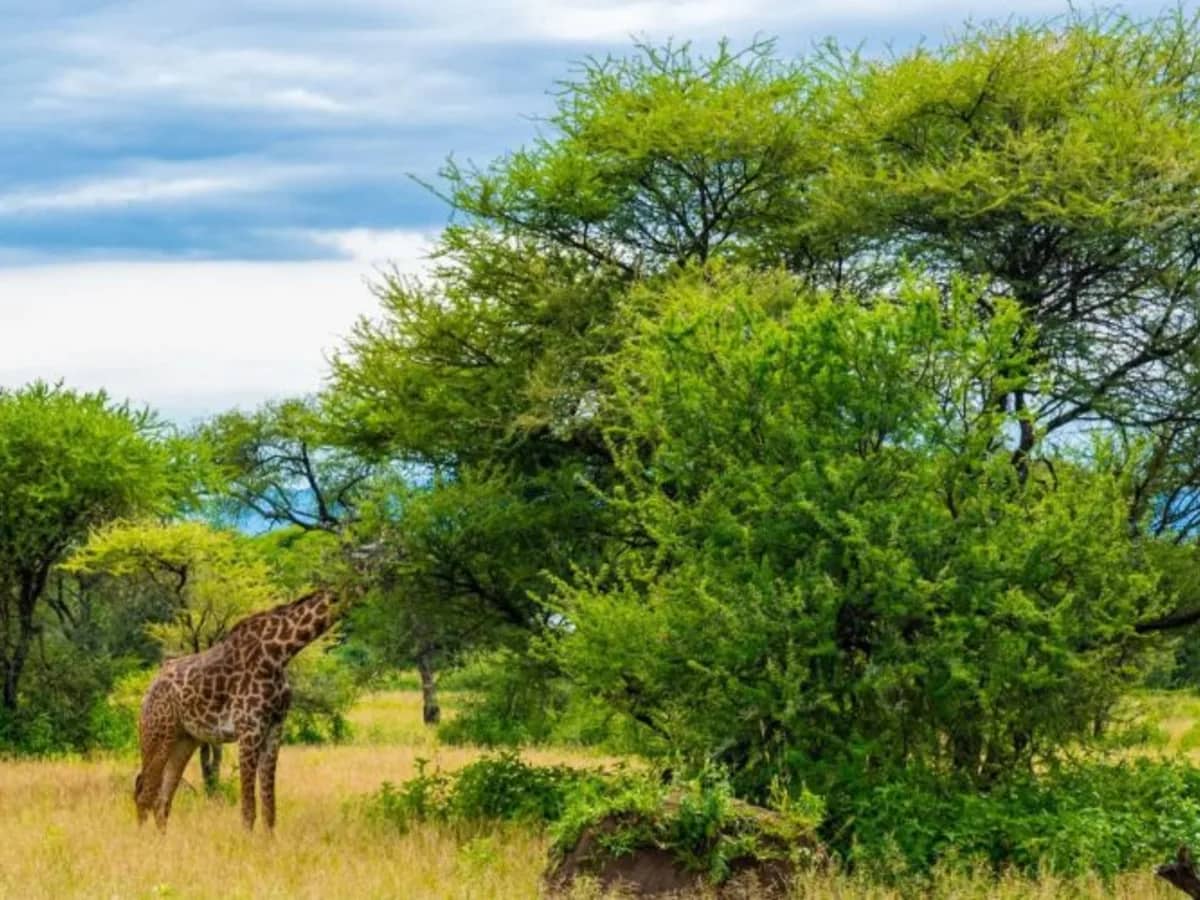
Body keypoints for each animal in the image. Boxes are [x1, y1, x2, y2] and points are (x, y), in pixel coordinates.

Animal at [134, 588, 342, 831]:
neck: (280, 653)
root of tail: (147, 692)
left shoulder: (275, 728)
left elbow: (269, 808)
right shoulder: (249, 729)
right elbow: (248, 808)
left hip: (184, 740)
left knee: (162, 799)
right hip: (157, 734)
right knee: (143, 792)